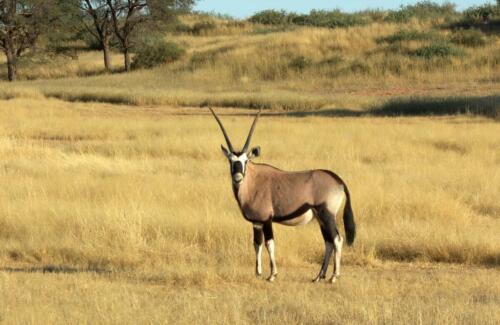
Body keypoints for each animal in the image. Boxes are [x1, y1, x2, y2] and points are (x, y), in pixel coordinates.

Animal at [209, 107, 358, 282]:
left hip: (327, 215)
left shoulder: (267, 220)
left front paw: (272, 274)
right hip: (321, 218)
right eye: (231, 161)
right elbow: (257, 244)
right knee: (328, 242)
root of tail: (338, 180)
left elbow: (269, 244)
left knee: (337, 240)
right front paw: (258, 273)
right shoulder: (256, 222)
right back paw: (318, 276)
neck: (253, 181)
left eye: (246, 160)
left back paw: (334, 276)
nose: (238, 178)